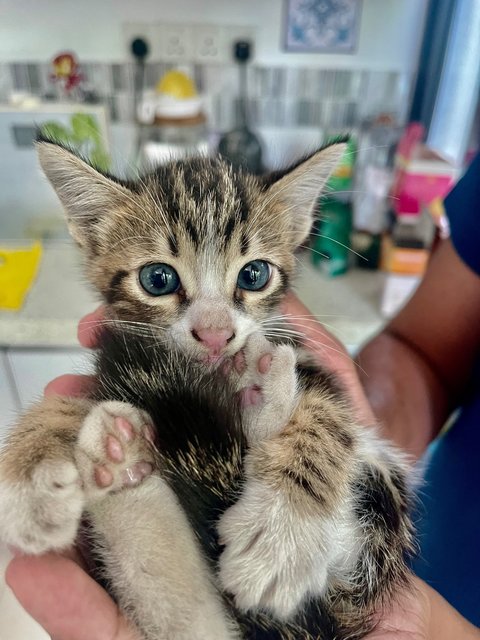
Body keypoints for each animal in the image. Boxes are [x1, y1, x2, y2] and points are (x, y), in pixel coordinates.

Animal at [0, 141, 412, 640]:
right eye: (157, 279)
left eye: (254, 275)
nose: (216, 335)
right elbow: (70, 404)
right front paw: (29, 475)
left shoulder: (308, 359)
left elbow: (326, 418)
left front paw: (283, 536)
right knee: (197, 626)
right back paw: (122, 464)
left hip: (379, 509)